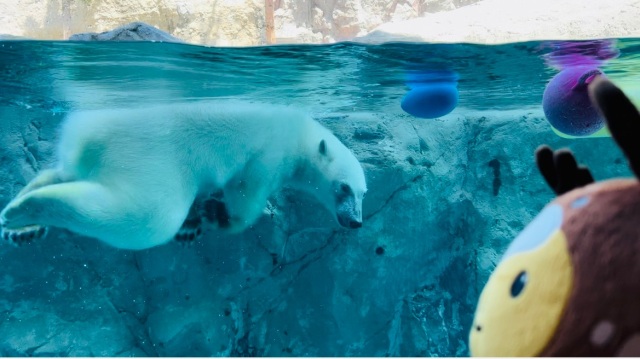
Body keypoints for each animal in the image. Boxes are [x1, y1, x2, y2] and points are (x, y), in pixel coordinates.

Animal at [0, 102, 368, 250]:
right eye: (343, 187)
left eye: (363, 192)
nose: (355, 222)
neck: (301, 135)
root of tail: (92, 132)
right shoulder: (269, 153)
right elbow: (246, 193)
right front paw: (216, 215)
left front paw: (192, 224)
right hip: (152, 157)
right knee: (144, 217)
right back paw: (26, 210)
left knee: (64, 171)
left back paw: (24, 226)